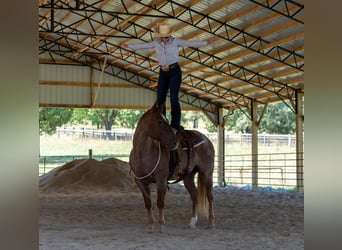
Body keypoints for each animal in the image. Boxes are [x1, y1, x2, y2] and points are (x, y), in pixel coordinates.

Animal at [128, 102, 214, 231]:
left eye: (166, 121)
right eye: (160, 121)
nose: (175, 142)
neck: (142, 154)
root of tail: (206, 140)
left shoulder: (161, 180)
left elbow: (160, 202)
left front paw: (161, 225)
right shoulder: (141, 182)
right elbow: (148, 203)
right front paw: (150, 225)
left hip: (207, 173)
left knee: (210, 196)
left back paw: (211, 222)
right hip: (188, 176)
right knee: (194, 195)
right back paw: (192, 222)